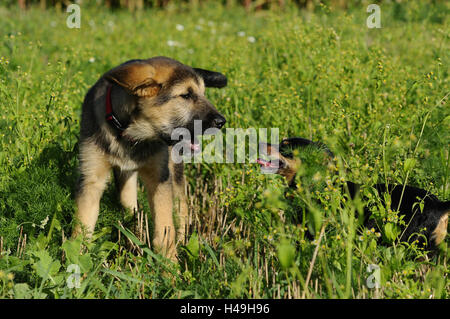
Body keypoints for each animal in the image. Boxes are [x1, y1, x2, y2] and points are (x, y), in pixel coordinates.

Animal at [76, 56, 229, 260]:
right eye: (186, 95)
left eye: (203, 93)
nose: (221, 122)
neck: (129, 135)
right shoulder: (91, 180)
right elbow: (82, 228)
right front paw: (75, 258)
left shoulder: (160, 177)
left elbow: (165, 227)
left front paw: (169, 264)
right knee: (129, 201)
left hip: (175, 172)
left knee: (182, 209)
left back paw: (183, 242)